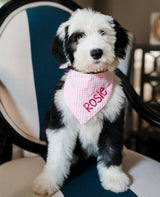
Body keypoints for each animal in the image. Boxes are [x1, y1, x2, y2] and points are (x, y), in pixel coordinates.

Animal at [33, 8, 130, 195]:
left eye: (102, 32)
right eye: (79, 36)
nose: (96, 52)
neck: (91, 79)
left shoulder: (113, 122)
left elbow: (111, 150)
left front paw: (114, 178)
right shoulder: (61, 122)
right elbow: (57, 155)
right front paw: (48, 181)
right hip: (48, 117)